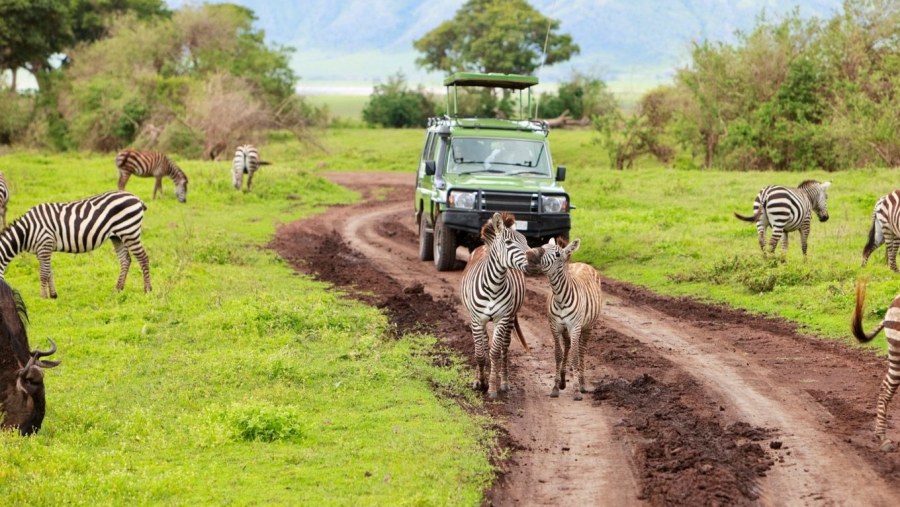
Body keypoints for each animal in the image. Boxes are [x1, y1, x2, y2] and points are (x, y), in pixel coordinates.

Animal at [0, 192, 152, 300]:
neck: (27, 230)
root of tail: (136, 198)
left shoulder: (45, 245)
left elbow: (43, 274)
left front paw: (42, 297)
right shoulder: (42, 250)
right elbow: (49, 272)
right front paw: (53, 295)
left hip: (129, 231)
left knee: (143, 258)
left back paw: (147, 290)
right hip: (117, 236)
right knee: (125, 260)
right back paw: (118, 289)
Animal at [460, 211, 532, 400]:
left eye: (525, 240)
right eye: (509, 243)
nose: (535, 258)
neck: (494, 285)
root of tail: (484, 246)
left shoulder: (502, 318)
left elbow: (494, 352)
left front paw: (492, 388)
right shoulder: (476, 320)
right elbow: (480, 353)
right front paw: (480, 382)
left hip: (510, 318)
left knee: (503, 349)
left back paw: (504, 382)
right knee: (484, 345)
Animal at [528, 238, 604, 400]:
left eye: (557, 254)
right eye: (542, 247)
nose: (531, 256)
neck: (560, 297)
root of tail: (583, 263)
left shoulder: (575, 327)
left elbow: (575, 356)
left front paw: (576, 390)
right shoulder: (555, 326)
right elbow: (558, 354)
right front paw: (555, 387)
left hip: (588, 326)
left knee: (581, 350)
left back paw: (582, 383)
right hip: (566, 329)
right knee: (568, 346)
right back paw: (563, 380)